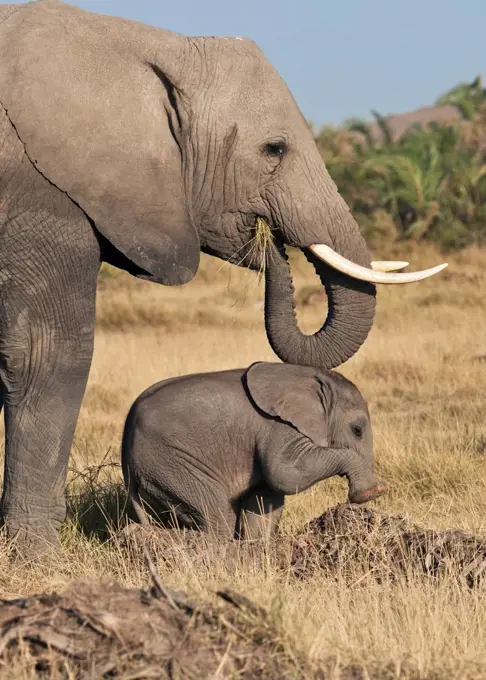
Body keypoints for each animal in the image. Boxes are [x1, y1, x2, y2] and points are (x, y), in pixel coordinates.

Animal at [121, 364, 388, 540]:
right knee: (218, 518)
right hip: (171, 463)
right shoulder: (276, 426)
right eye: (357, 430)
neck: (312, 378)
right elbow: (285, 475)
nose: (375, 492)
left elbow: (265, 498)